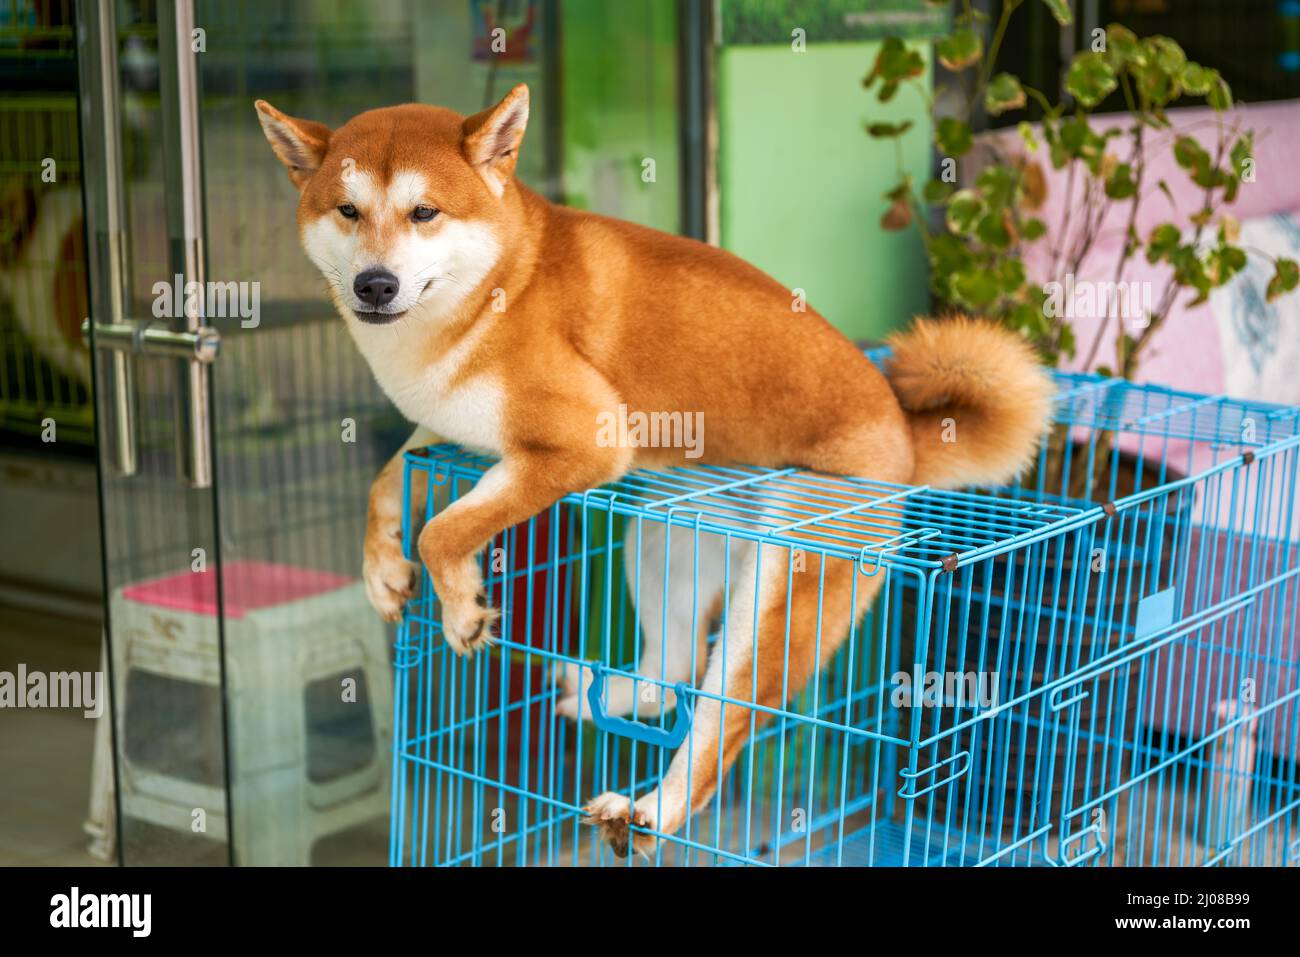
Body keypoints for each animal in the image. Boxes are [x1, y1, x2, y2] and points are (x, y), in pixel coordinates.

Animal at [256, 83, 1055, 858]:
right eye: (348, 210)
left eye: (424, 211)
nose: (374, 284)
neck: (492, 288)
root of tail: (903, 432)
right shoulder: (460, 432)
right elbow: (387, 481)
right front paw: (382, 572)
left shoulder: (587, 443)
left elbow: (446, 530)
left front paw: (463, 610)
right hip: (661, 540)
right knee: (675, 671)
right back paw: (607, 697)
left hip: (780, 587)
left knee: (720, 724)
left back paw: (650, 815)